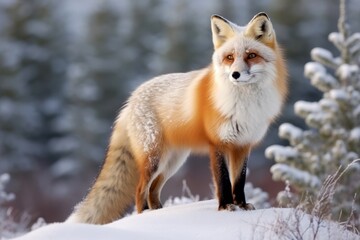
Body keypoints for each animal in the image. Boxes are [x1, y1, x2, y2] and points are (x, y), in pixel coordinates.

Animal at [66, 12, 288, 224]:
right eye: (230, 57)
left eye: (251, 55)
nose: (235, 74)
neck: (244, 105)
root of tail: (131, 99)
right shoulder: (218, 143)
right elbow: (224, 181)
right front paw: (226, 207)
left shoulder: (242, 145)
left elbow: (239, 182)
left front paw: (241, 205)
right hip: (155, 159)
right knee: (140, 190)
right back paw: (143, 216)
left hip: (172, 162)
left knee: (153, 190)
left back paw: (158, 212)